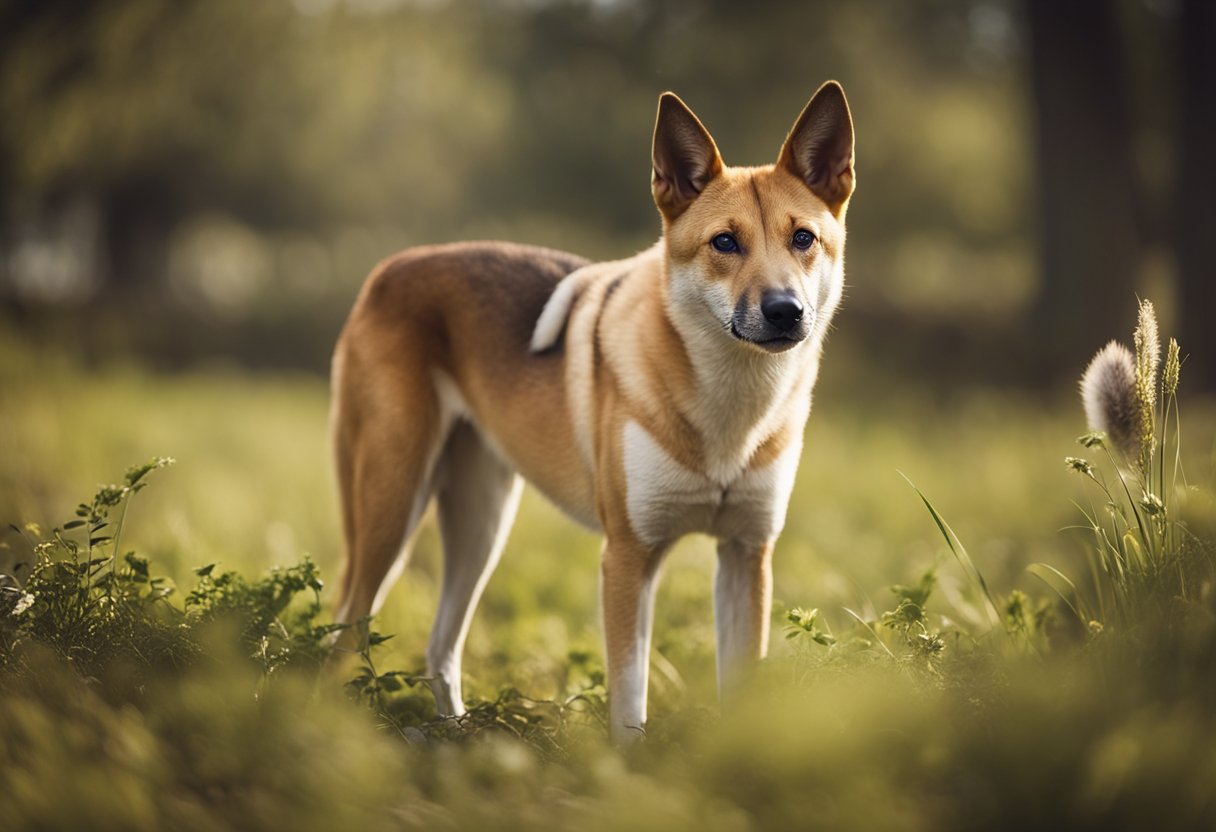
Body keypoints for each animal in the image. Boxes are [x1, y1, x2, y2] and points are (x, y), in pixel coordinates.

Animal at [328, 79, 851, 739]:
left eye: (803, 238)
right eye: (725, 243)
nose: (785, 311)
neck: (729, 406)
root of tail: (387, 268)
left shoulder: (746, 556)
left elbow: (739, 693)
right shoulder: (628, 559)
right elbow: (629, 707)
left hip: (481, 525)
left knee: (440, 646)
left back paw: (457, 736)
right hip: (392, 509)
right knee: (345, 633)